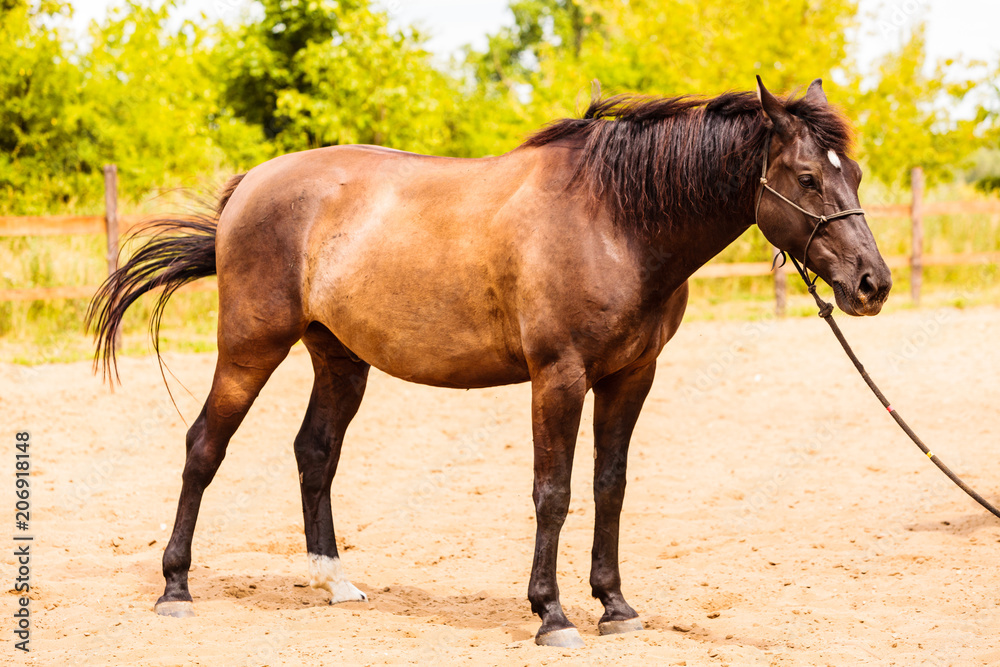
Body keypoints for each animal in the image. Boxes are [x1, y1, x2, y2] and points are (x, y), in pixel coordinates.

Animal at [90, 77, 892, 648]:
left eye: (852, 171)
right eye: (806, 177)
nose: (871, 284)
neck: (616, 222)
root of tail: (250, 186)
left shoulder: (631, 377)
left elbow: (609, 487)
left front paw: (615, 604)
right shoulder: (559, 376)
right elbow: (553, 492)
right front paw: (553, 614)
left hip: (340, 359)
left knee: (314, 452)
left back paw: (335, 582)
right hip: (250, 346)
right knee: (204, 446)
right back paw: (176, 588)